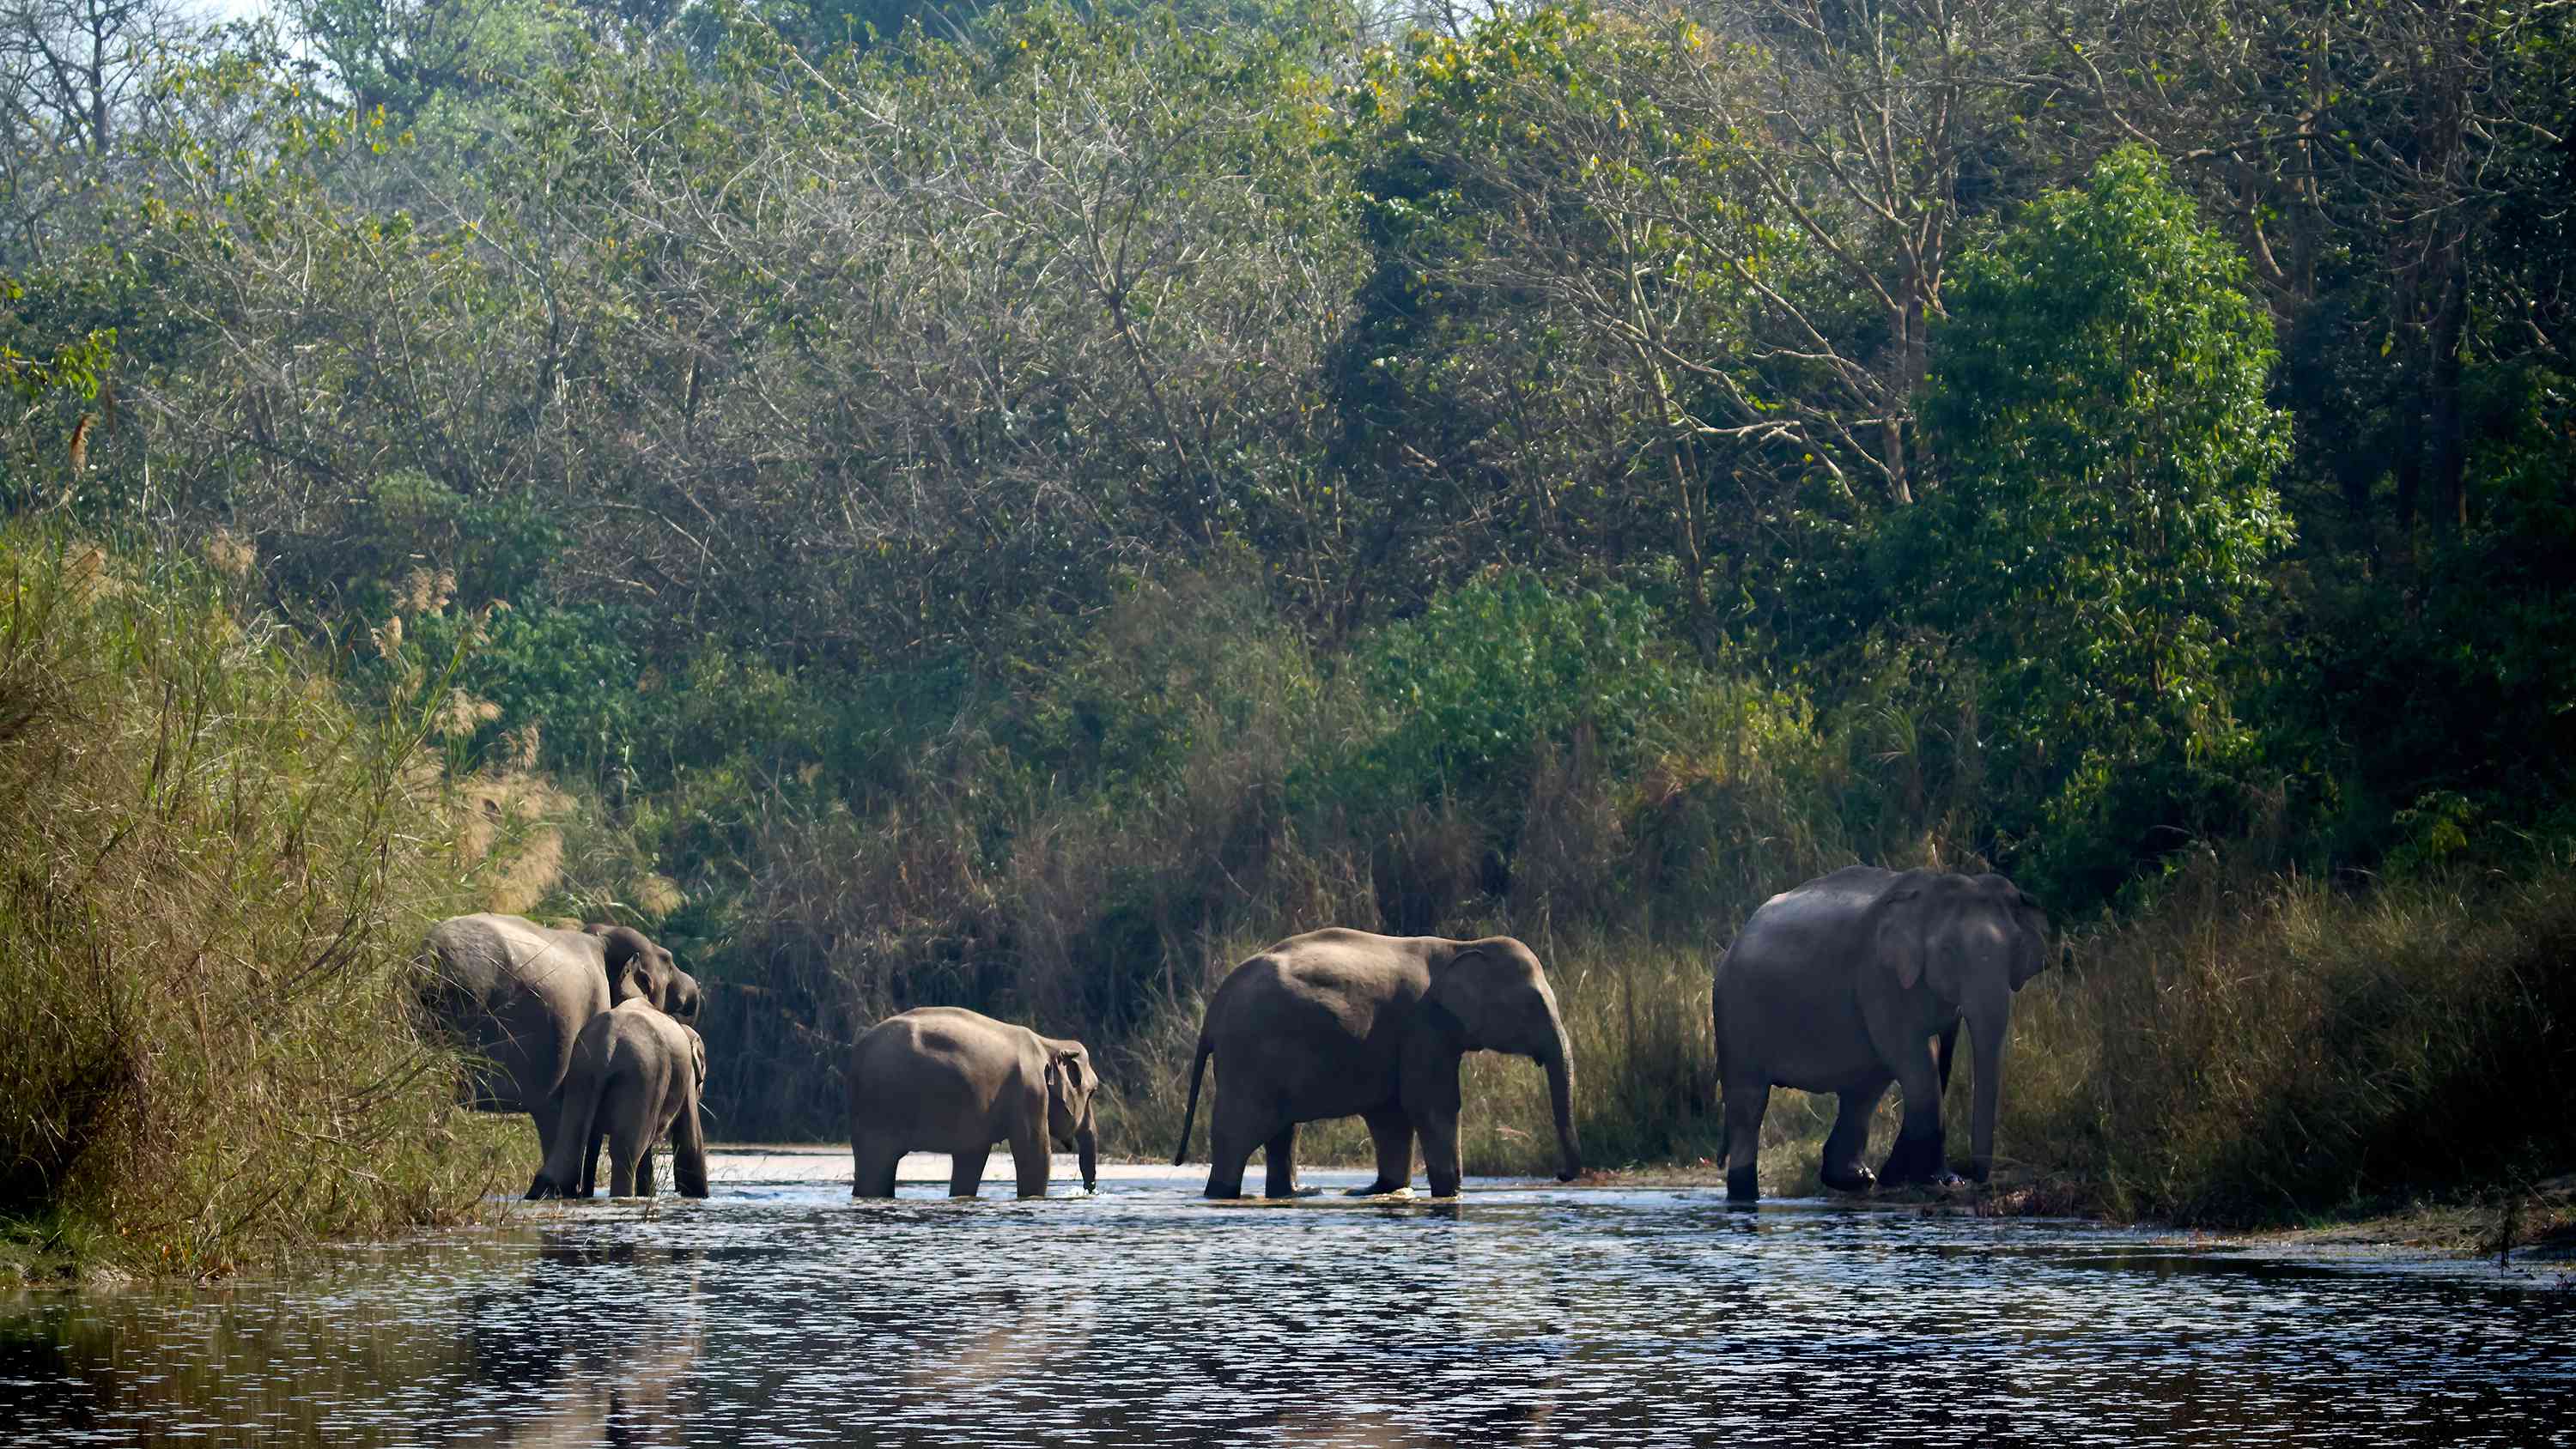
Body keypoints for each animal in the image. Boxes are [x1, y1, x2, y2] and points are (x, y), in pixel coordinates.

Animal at [526, 998, 711, 1204]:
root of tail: (607, 1046)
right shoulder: (686, 1078)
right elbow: (690, 1140)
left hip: (581, 1072)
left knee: (571, 1142)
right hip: (643, 1076)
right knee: (627, 1152)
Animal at [840, 1009, 1092, 1204]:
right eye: (1091, 1093)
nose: (1088, 1192)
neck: (1048, 1043)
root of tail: (859, 1045)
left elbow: (971, 1157)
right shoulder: (1030, 1092)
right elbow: (1035, 1153)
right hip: (881, 1106)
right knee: (877, 1165)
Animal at [1175, 931, 1577, 1204]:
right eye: (1534, 1004)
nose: (1561, 1174)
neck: (1460, 946)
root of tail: (1216, 1005)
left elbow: (1393, 1114)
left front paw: (1384, 1189)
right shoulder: (1423, 1027)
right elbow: (1431, 1105)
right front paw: (1449, 1194)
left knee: (1282, 1132)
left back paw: (1297, 1193)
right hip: (1249, 1056)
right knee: (1238, 1134)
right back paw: (1223, 1193)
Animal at [1710, 875, 2050, 1204]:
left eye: (2016, 949)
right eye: (1947, 952)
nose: (1977, 1176)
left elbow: (1927, 1057)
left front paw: (1931, 1179)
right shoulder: (1881, 977)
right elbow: (1916, 1061)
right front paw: (1939, 1181)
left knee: (1864, 1087)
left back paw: (1857, 1179)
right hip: (1735, 1012)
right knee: (1750, 1102)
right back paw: (1745, 1197)